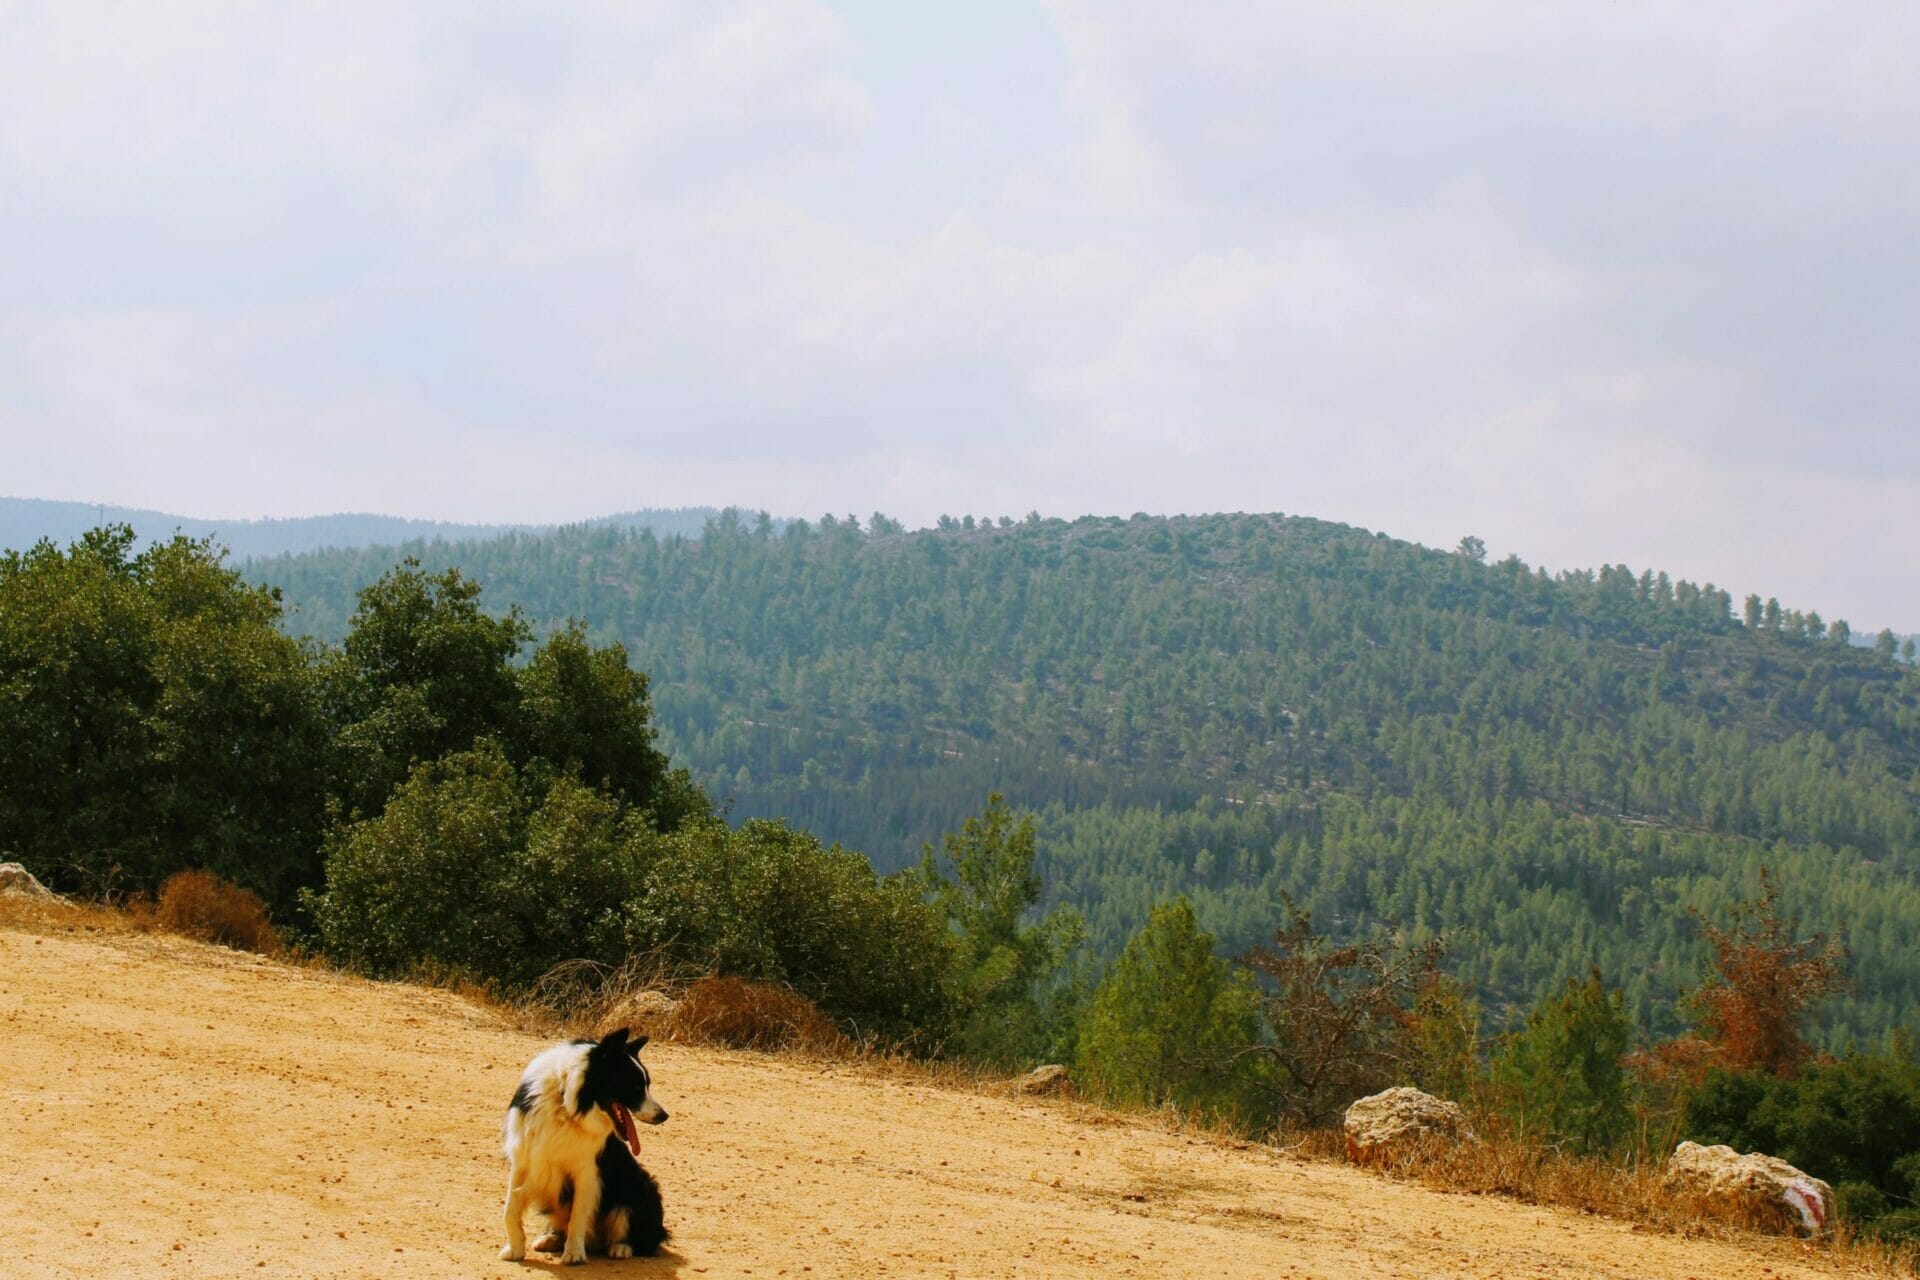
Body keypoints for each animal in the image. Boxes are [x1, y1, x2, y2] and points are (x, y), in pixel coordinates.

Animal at [499, 1028, 672, 1266]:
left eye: (646, 1086)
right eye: (635, 1087)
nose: (664, 1116)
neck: (566, 1102)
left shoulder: (587, 1171)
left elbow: (578, 1216)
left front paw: (574, 1254)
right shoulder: (523, 1160)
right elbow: (510, 1209)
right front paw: (514, 1249)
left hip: (640, 1188)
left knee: (639, 1237)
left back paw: (621, 1247)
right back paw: (550, 1239)